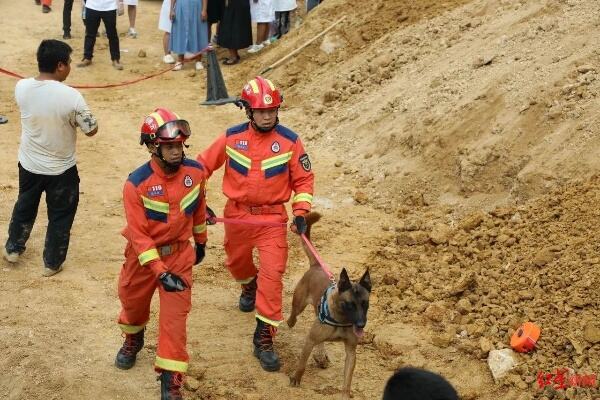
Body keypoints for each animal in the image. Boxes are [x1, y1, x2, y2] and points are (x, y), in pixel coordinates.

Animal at [288, 211, 370, 398]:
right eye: (349, 304)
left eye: (365, 304)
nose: (361, 324)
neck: (341, 320)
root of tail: (316, 265)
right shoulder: (310, 340)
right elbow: (302, 364)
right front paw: (296, 378)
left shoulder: (351, 352)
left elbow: (347, 380)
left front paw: (345, 395)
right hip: (299, 304)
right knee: (293, 315)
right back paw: (290, 322)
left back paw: (321, 355)